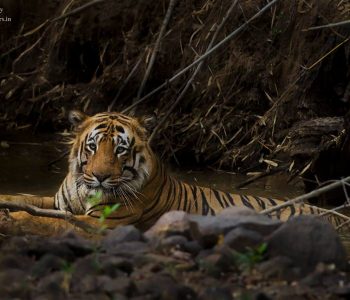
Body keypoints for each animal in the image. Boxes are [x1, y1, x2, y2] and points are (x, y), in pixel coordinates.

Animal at [2, 110, 348, 230]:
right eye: (93, 146)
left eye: (120, 149)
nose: (100, 176)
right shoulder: (58, 200)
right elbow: (25, 198)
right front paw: (8, 203)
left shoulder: (105, 221)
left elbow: (44, 218)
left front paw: (13, 218)